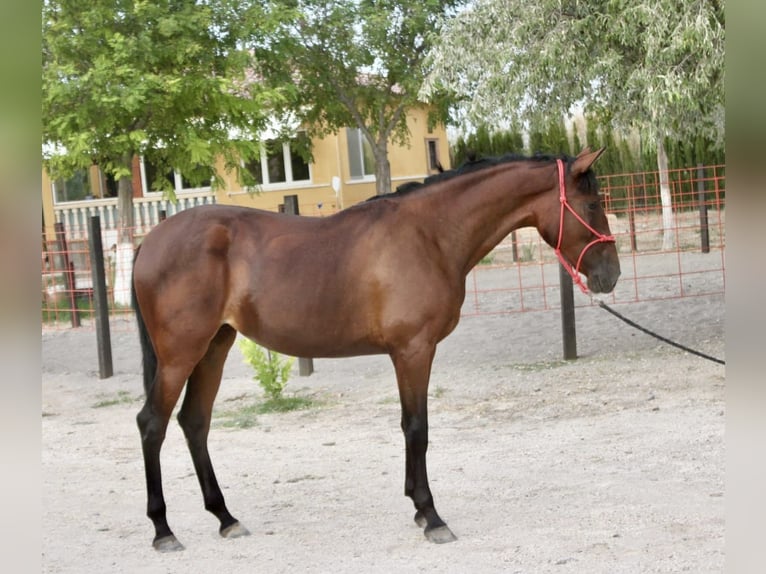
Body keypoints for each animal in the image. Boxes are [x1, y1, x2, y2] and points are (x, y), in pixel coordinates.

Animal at [134, 147, 624, 552]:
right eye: (593, 205)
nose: (611, 274)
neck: (429, 234)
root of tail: (151, 240)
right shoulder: (413, 350)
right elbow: (416, 428)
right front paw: (431, 516)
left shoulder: (410, 352)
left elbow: (412, 428)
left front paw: (418, 510)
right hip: (180, 355)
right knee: (152, 424)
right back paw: (163, 530)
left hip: (213, 347)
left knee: (194, 423)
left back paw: (225, 518)